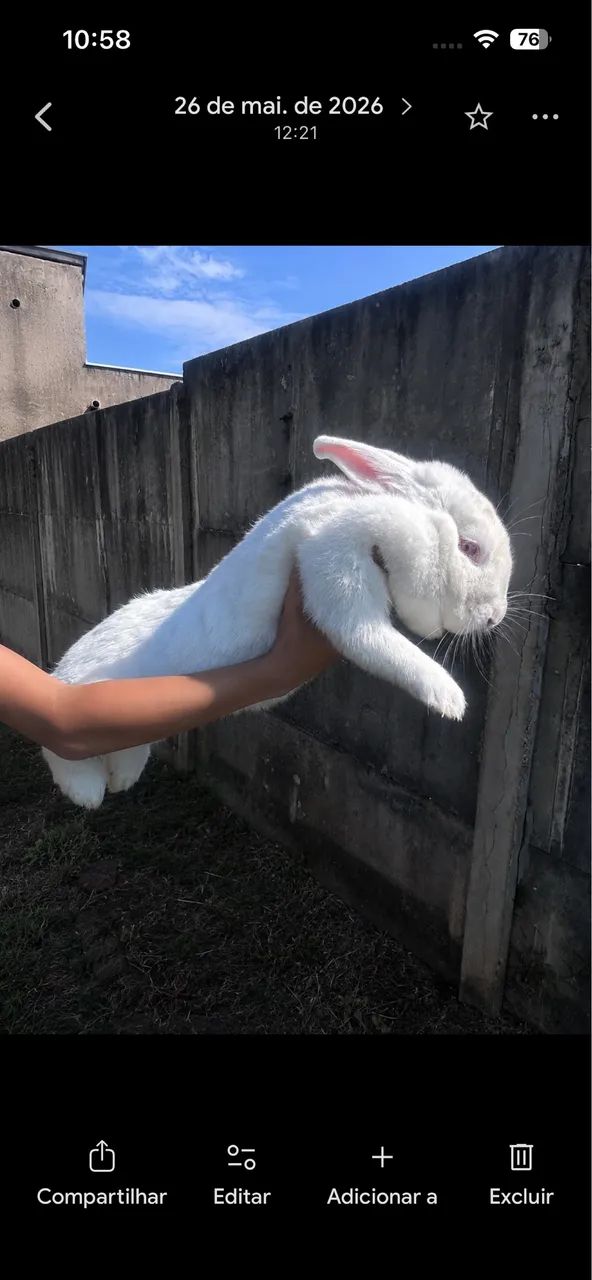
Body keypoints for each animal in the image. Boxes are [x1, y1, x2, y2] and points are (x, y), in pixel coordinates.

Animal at [42, 434, 513, 810]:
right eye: (470, 548)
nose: (494, 617)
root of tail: (60, 676)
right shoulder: (332, 562)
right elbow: (375, 641)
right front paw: (449, 699)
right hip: (77, 732)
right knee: (63, 758)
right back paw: (89, 795)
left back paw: (121, 781)